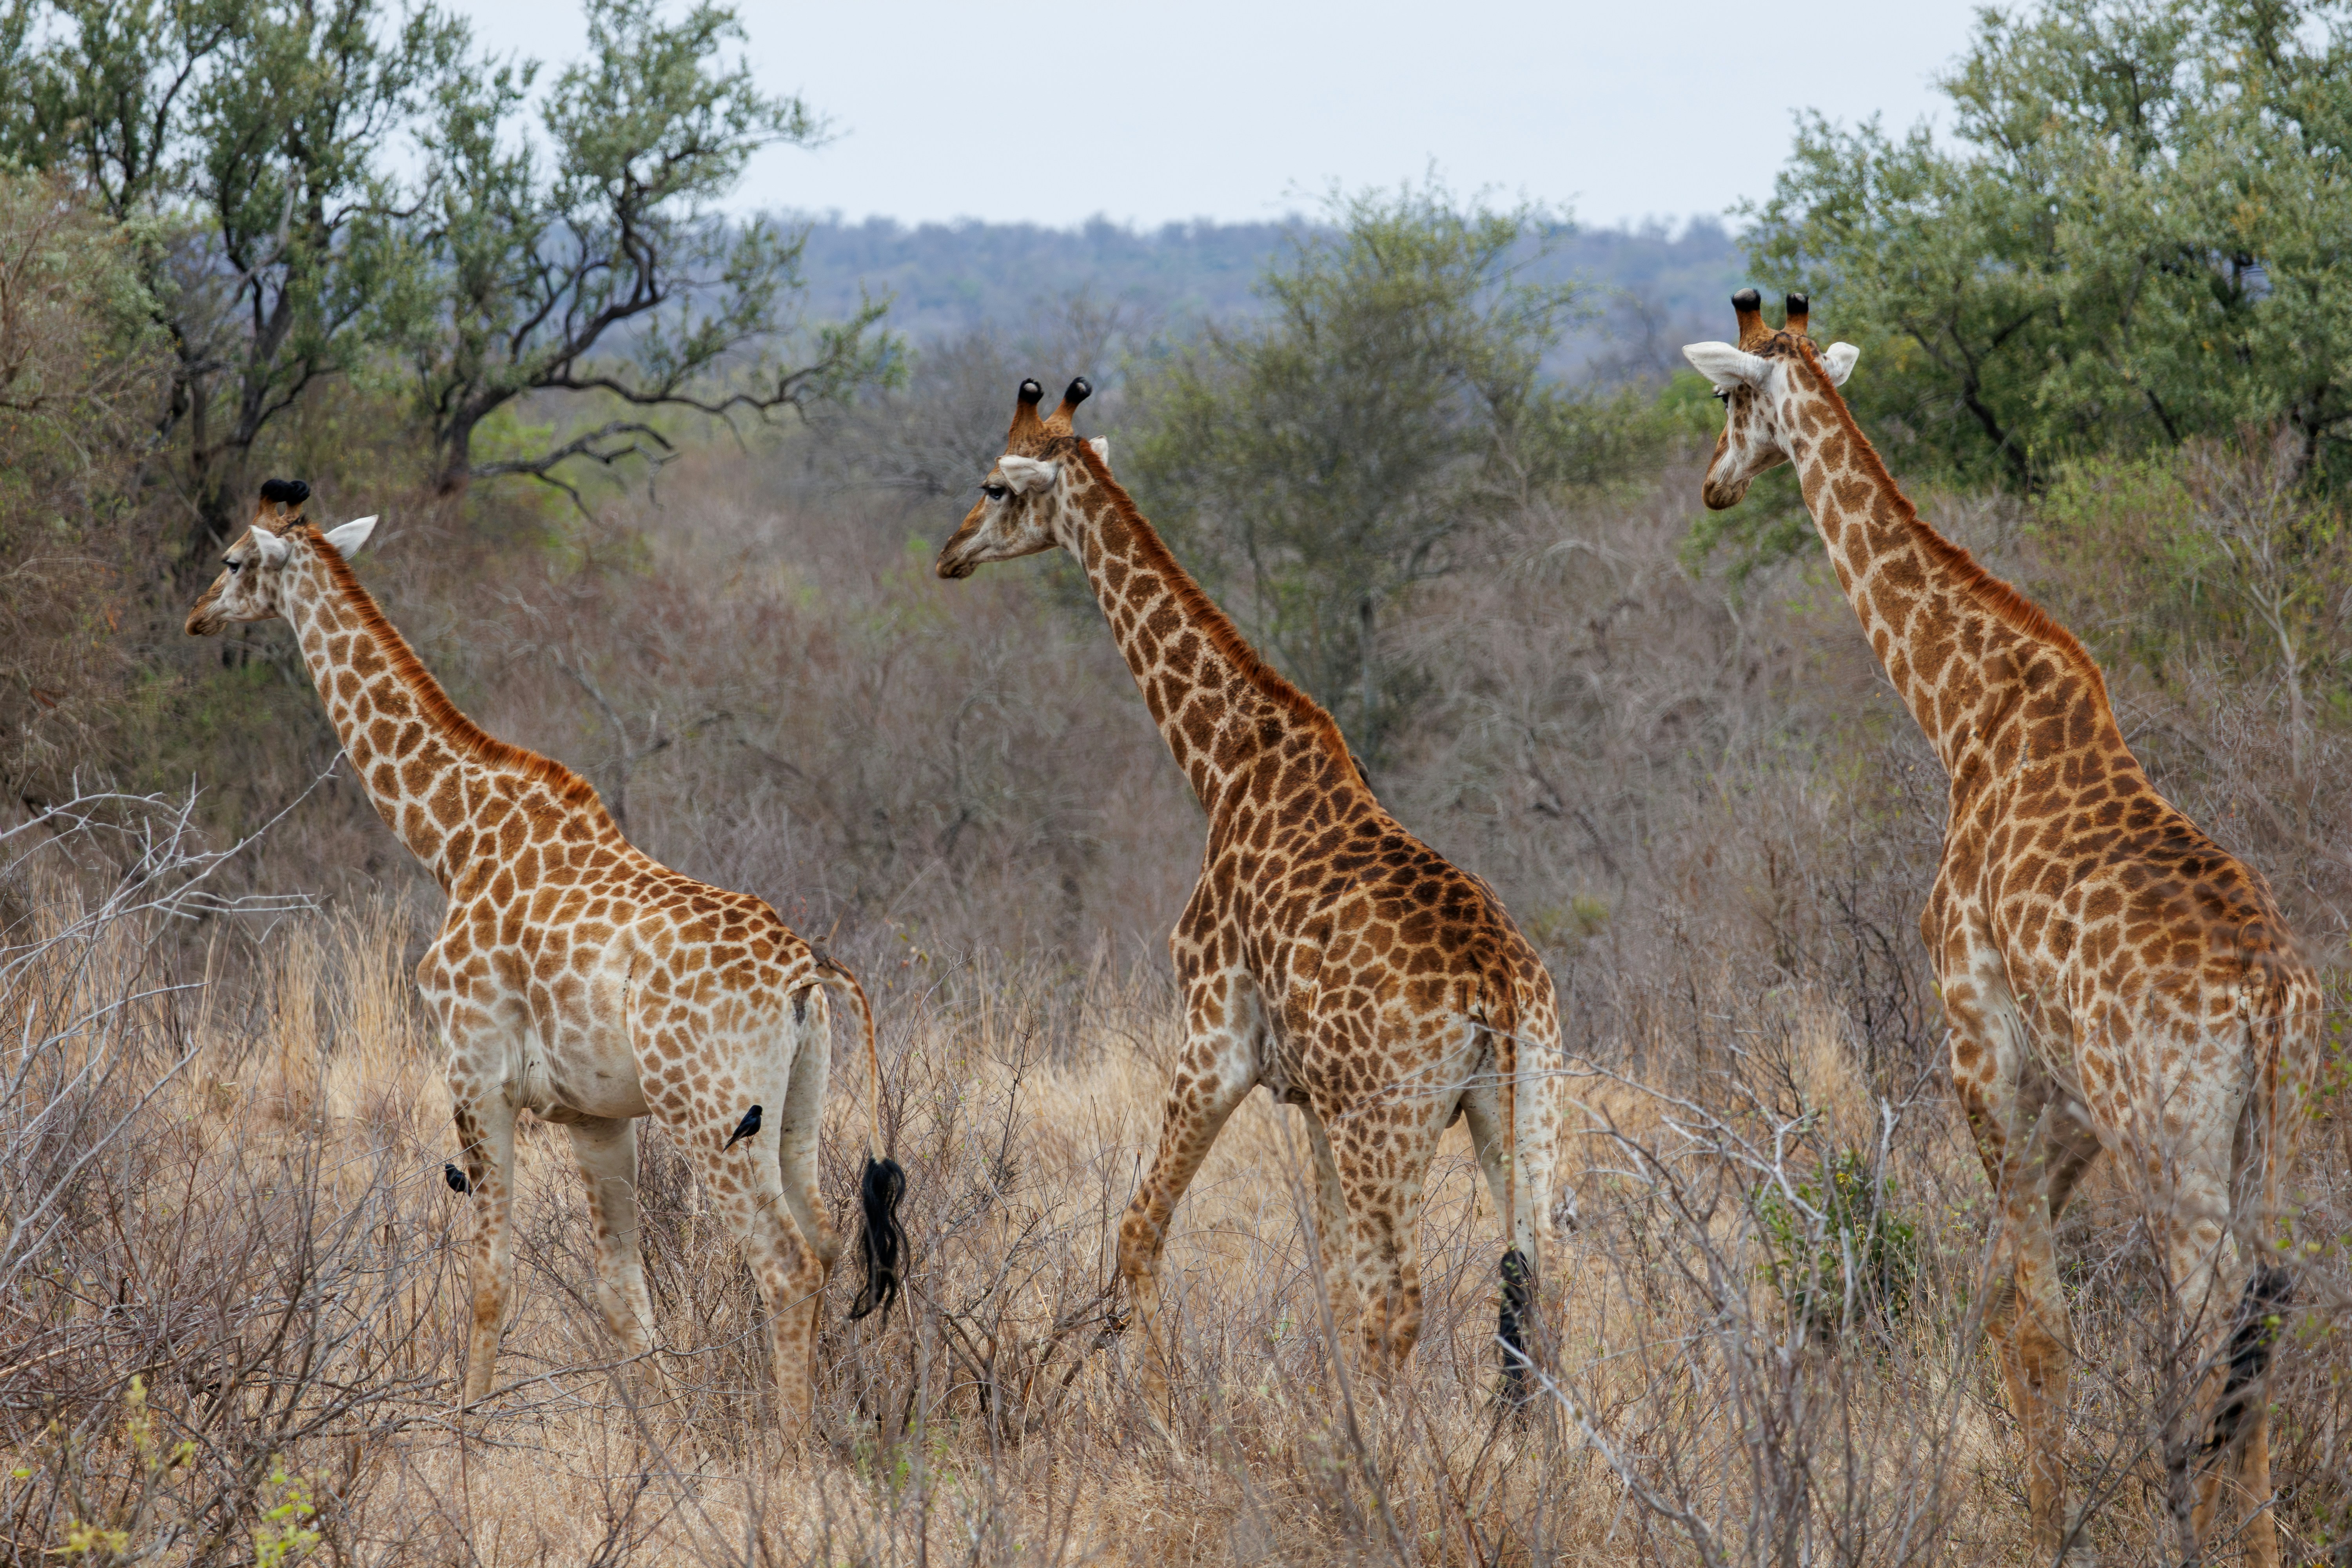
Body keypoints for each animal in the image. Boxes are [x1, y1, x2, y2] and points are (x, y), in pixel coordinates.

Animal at [184, 479, 906, 1426]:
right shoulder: (596, 1115)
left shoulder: (474, 1071)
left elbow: (491, 1277)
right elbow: (622, 1295)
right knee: (829, 1246)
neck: (451, 838)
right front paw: (659, 1437)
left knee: (785, 1265)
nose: (197, 616)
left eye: (233, 559)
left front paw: (468, 1430)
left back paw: (791, 1449)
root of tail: (806, 972)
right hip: (796, 1114)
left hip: (712, 1115)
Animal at [934, 379, 1566, 1397]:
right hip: (1517, 1104)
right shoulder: (1311, 1099)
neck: (1221, 761)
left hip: (1391, 1125)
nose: (948, 554)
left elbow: (1139, 1231)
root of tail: (1500, 986)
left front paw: (1163, 1408)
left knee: (1407, 1299)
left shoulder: (1214, 1038)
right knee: (1541, 1279)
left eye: (994, 485)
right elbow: (1333, 1279)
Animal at [1686, 295, 2319, 1564]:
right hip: (2277, 1129)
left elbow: (2035, 1319)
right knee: (2268, 1304)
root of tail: (2271, 997)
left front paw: (2045, 1528)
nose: (1714, 486)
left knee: (2213, 1312)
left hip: (2171, 1140)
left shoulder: (1982, 1047)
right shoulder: (2063, 1102)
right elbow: (1990, 1299)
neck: (1960, 716)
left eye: (1726, 398)